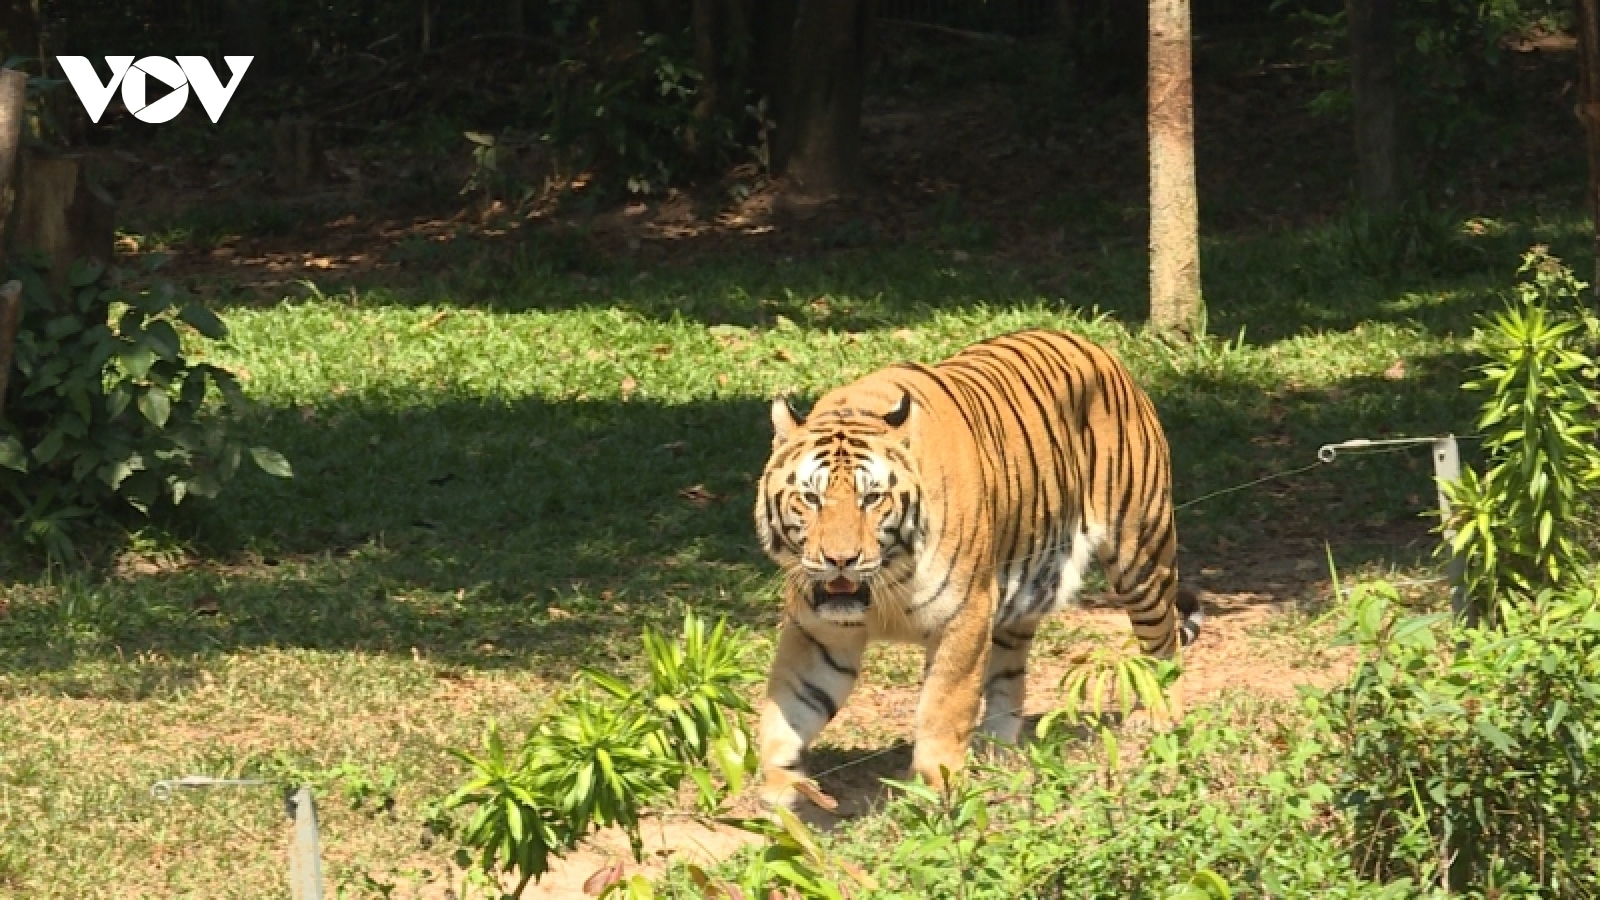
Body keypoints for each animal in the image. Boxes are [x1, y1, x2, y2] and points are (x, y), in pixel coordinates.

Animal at [755, 328, 1203, 807]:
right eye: (811, 497)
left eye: (872, 498)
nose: (841, 560)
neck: (885, 584)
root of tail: (1096, 347)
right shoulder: (819, 632)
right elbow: (790, 707)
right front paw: (780, 789)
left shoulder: (963, 617)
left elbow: (942, 709)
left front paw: (935, 793)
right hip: (1024, 584)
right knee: (1010, 675)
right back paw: (997, 752)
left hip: (1141, 552)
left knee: (1163, 642)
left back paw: (1161, 718)